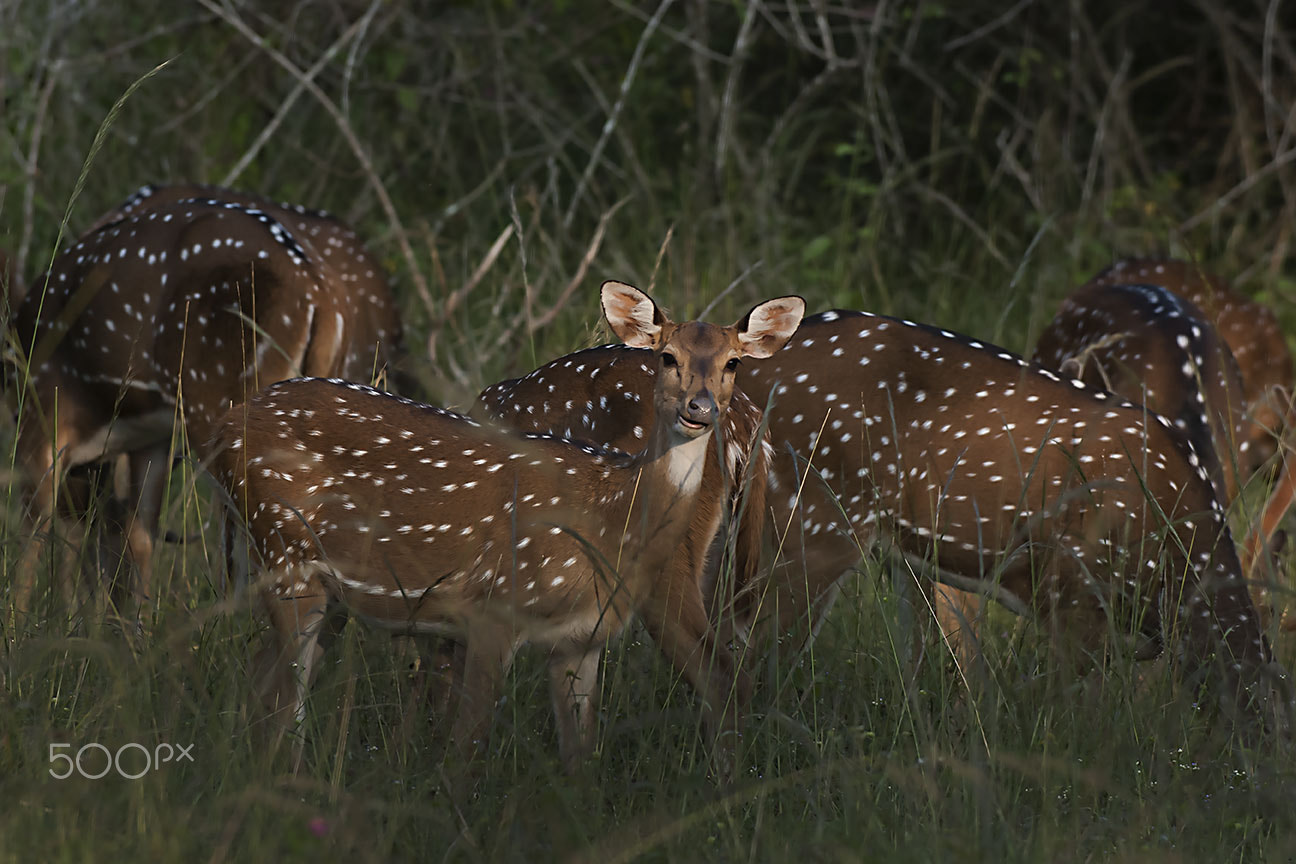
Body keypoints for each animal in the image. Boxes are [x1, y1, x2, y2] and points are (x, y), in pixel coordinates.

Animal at [5, 185, 401, 618]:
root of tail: (322, 294)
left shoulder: (43, 411)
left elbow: (33, 529)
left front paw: (22, 626)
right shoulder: (147, 441)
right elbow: (137, 536)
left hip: (221, 400)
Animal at [209, 281, 805, 771]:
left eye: (733, 361)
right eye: (666, 356)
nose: (698, 408)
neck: (609, 509)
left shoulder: (578, 639)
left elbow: (578, 761)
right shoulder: (490, 610)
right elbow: (464, 752)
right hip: (288, 556)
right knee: (279, 695)